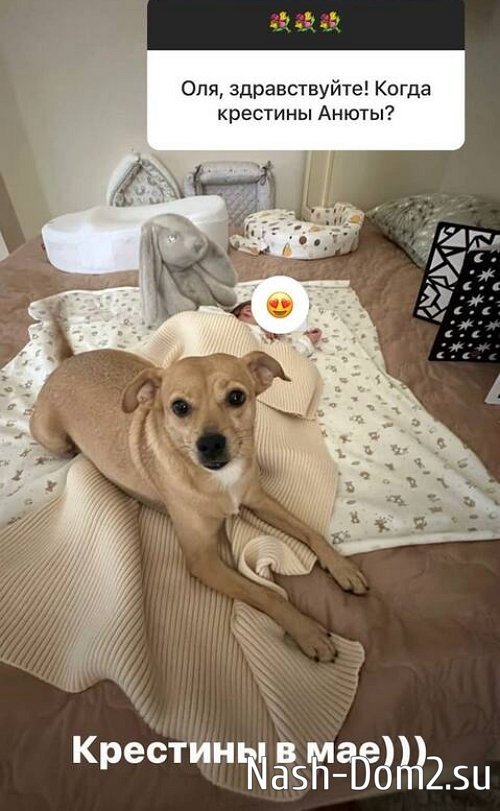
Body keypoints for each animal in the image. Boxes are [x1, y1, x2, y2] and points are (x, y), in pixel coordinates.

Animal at [30, 330, 368, 662]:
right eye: (179, 407)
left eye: (236, 397)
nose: (210, 444)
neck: (220, 479)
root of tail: (67, 362)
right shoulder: (203, 561)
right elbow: (265, 593)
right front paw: (307, 631)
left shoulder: (259, 500)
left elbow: (311, 532)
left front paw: (343, 568)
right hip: (54, 438)